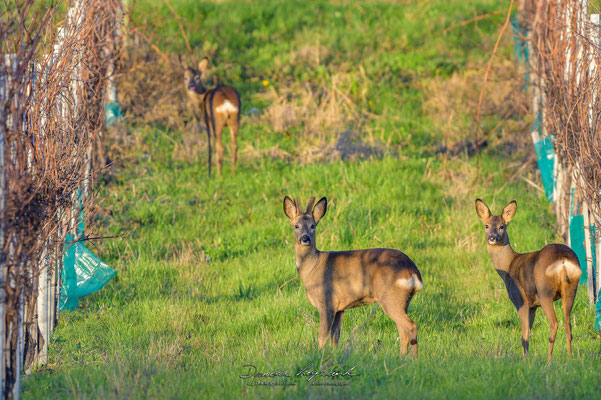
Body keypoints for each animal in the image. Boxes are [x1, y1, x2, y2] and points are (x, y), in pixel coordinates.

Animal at [282, 198, 422, 360]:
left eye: (313, 225)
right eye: (296, 226)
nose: (305, 238)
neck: (312, 267)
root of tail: (413, 272)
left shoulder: (326, 303)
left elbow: (322, 337)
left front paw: (319, 356)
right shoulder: (340, 308)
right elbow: (335, 337)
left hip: (390, 298)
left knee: (411, 326)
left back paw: (413, 360)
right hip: (403, 301)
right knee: (403, 330)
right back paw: (401, 358)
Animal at [474, 200, 580, 360]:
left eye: (502, 226)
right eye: (486, 225)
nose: (492, 237)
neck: (508, 264)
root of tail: (563, 261)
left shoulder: (520, 300)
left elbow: (524, 335)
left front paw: (525, 359)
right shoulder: (533, 306)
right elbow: (528, 331)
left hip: (545, 292)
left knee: (554, 323)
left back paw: (549, 360)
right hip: (571, 289)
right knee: (568, 323)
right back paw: (569, 357)